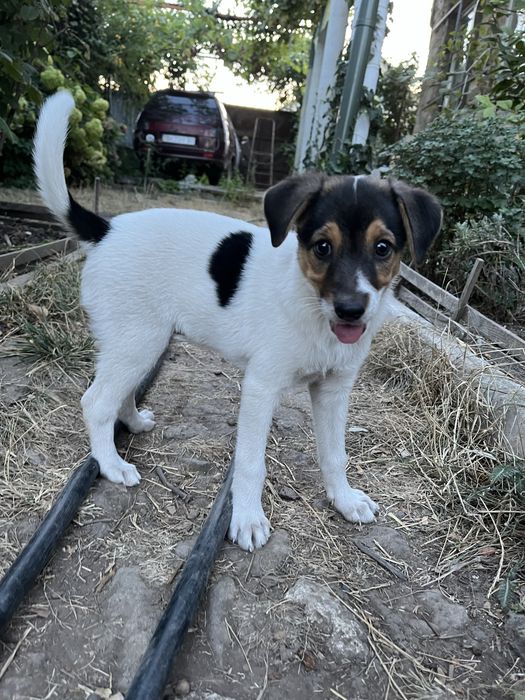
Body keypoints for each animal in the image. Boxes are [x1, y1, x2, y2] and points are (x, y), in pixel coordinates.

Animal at [34, 91, 441, 551]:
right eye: (322, 247)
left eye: (383, 248)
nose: (351, 310)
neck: (311, 306)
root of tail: (106, 230)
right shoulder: (261, 387)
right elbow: (251, 463)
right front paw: (246, 518)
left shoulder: (334, 390)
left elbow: (335, 454)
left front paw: (344, 499)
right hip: (139, 340)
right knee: (96, 402)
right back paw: (111, 465)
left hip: (141, 343)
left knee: (118, 393)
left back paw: (134, 423)